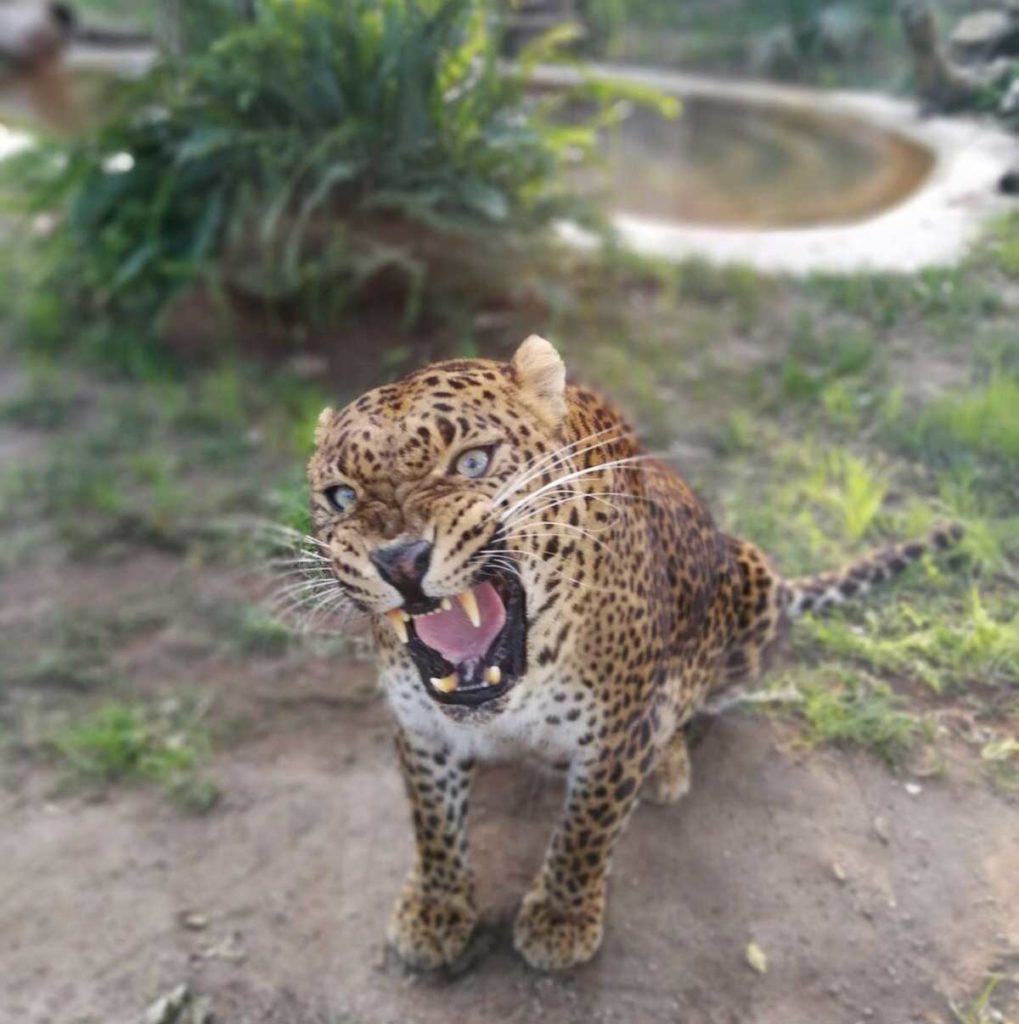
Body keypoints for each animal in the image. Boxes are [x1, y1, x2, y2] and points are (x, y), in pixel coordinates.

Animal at [305, 333, 962, 966]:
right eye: (341, 497)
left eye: (472, 461)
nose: (400, 560)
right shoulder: (421, 726)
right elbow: (434, 823)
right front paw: (436, 910)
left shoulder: (616, 732)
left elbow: (586, 828)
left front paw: (561, 921)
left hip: (751, 584)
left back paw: (667, 763)